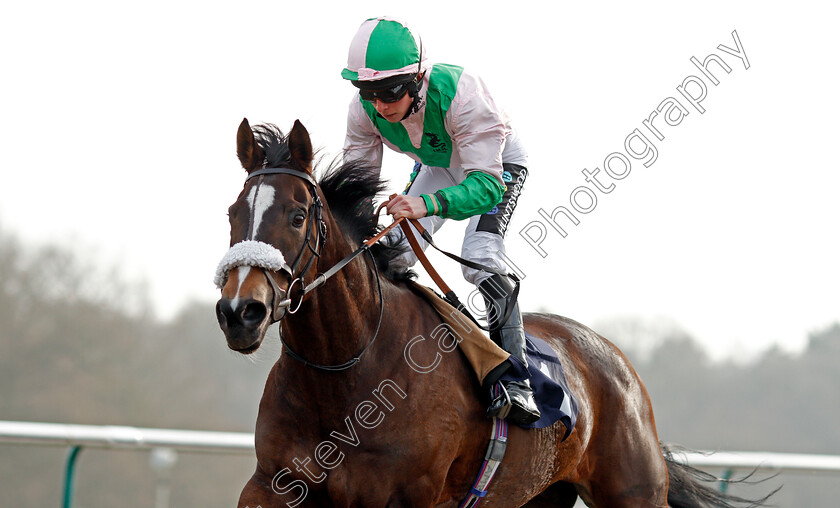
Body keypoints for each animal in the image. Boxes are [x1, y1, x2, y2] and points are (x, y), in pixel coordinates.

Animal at [217, 120, 776, 508]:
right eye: (232, 213)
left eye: (296, 215)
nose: (240, 310)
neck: (345, 371)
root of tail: (619, 363)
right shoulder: (272, 483)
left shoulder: (404, 496)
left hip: (633, 492)